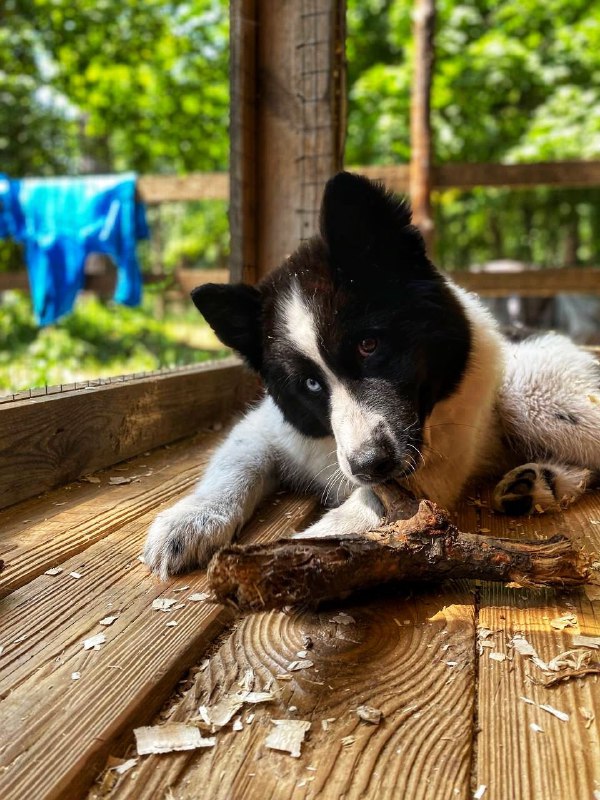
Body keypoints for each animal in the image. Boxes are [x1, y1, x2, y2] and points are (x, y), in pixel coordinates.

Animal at [144, 172, 600, 580]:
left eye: (369, 346)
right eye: (310, 384)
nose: (369, 466)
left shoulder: (424, 475)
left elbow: (369, 510)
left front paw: (296, 555)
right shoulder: (266, 429)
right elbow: (234, 466)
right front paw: (192, 519)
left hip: (529, 397)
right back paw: (540, 483)